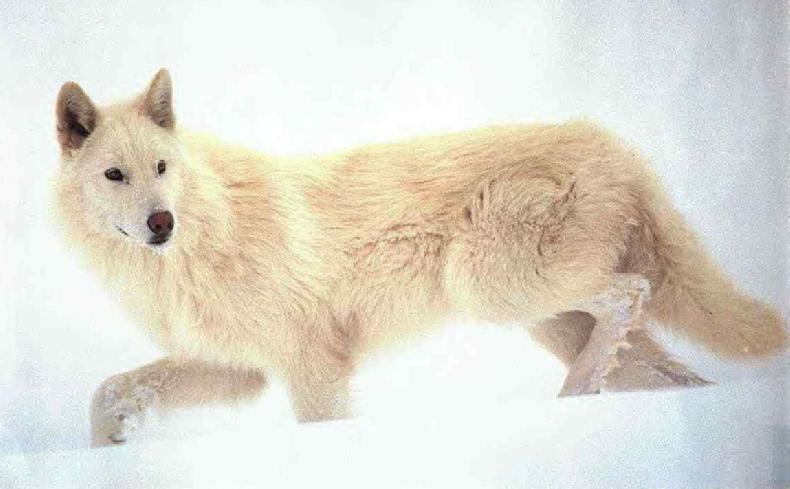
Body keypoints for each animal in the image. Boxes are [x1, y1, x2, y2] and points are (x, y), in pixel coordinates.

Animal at [53, 69, 786, 446]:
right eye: (115, 175)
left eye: (161, 167)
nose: (161, 222)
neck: (209, 230)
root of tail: (615, 147)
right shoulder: (242, 368)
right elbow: (108, 389)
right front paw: (111, 444)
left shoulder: (312, 364)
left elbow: (324, 426)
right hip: (548, 320)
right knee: (671, 369)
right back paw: (593, 400)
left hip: (493, 290)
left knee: (631, 291)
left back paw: (569, 398)